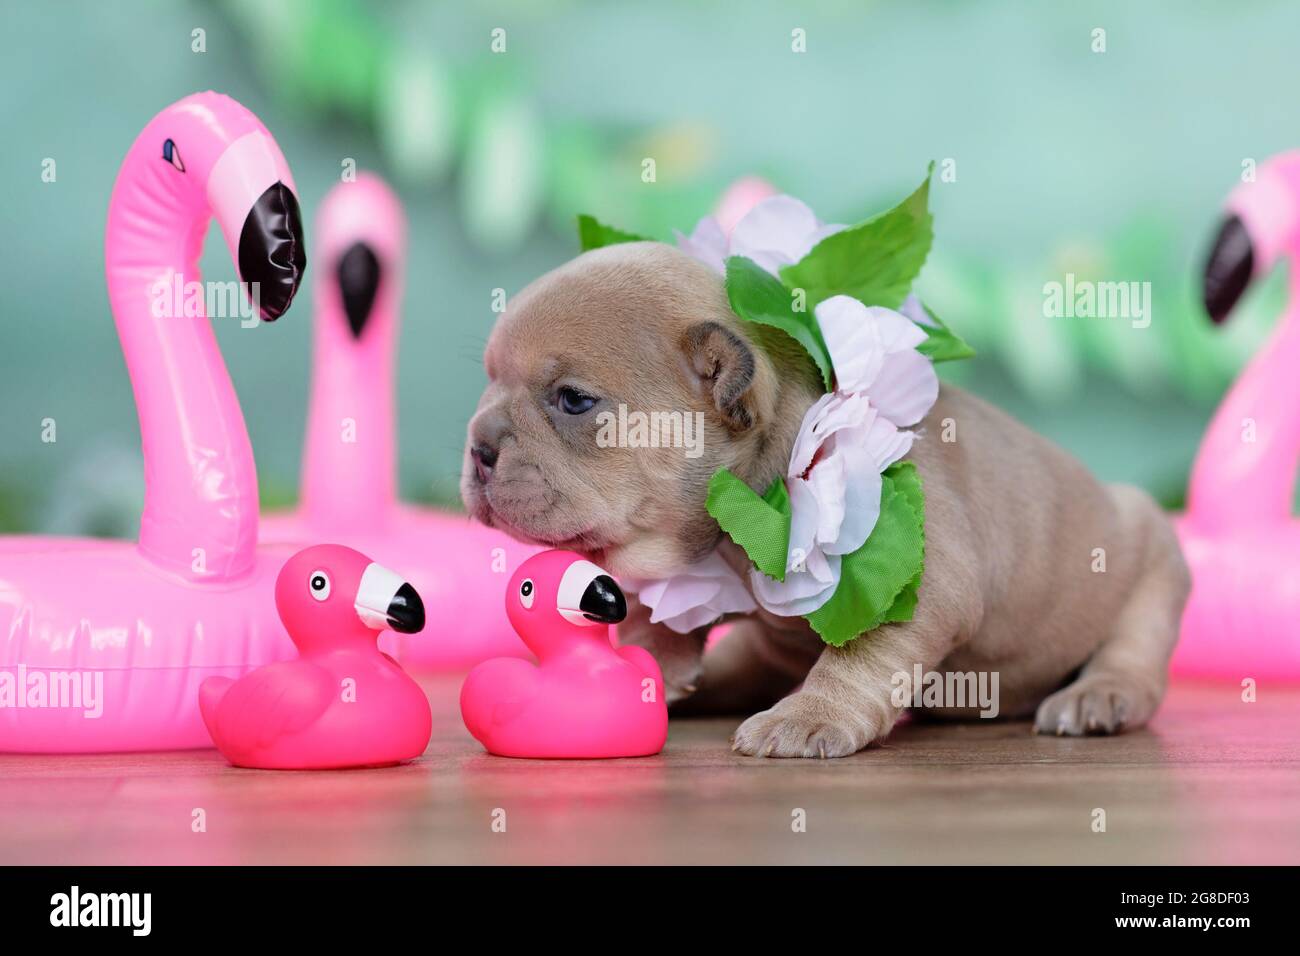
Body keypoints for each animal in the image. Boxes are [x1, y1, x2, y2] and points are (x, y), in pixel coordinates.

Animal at [462, 243, 1190, 759]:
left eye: (573, 401)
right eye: (488, 380)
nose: (477, 446)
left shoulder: (912, 585)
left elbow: (858, 659)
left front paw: (809, 717)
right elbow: (660, 618)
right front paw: (650, 664)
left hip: (1150, 564)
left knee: (1133, 652)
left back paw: (1098, 696)